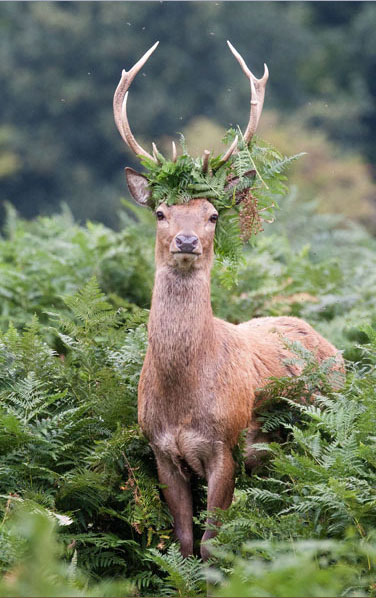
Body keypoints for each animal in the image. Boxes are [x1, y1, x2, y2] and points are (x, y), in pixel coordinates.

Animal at [112, 41, 344, 564]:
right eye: (161, 212)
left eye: (213, 214)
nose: (186, 240)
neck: (183, 400)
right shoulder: (160, 450)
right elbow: (182, 540)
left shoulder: (227, 445)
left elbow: (213, 543)